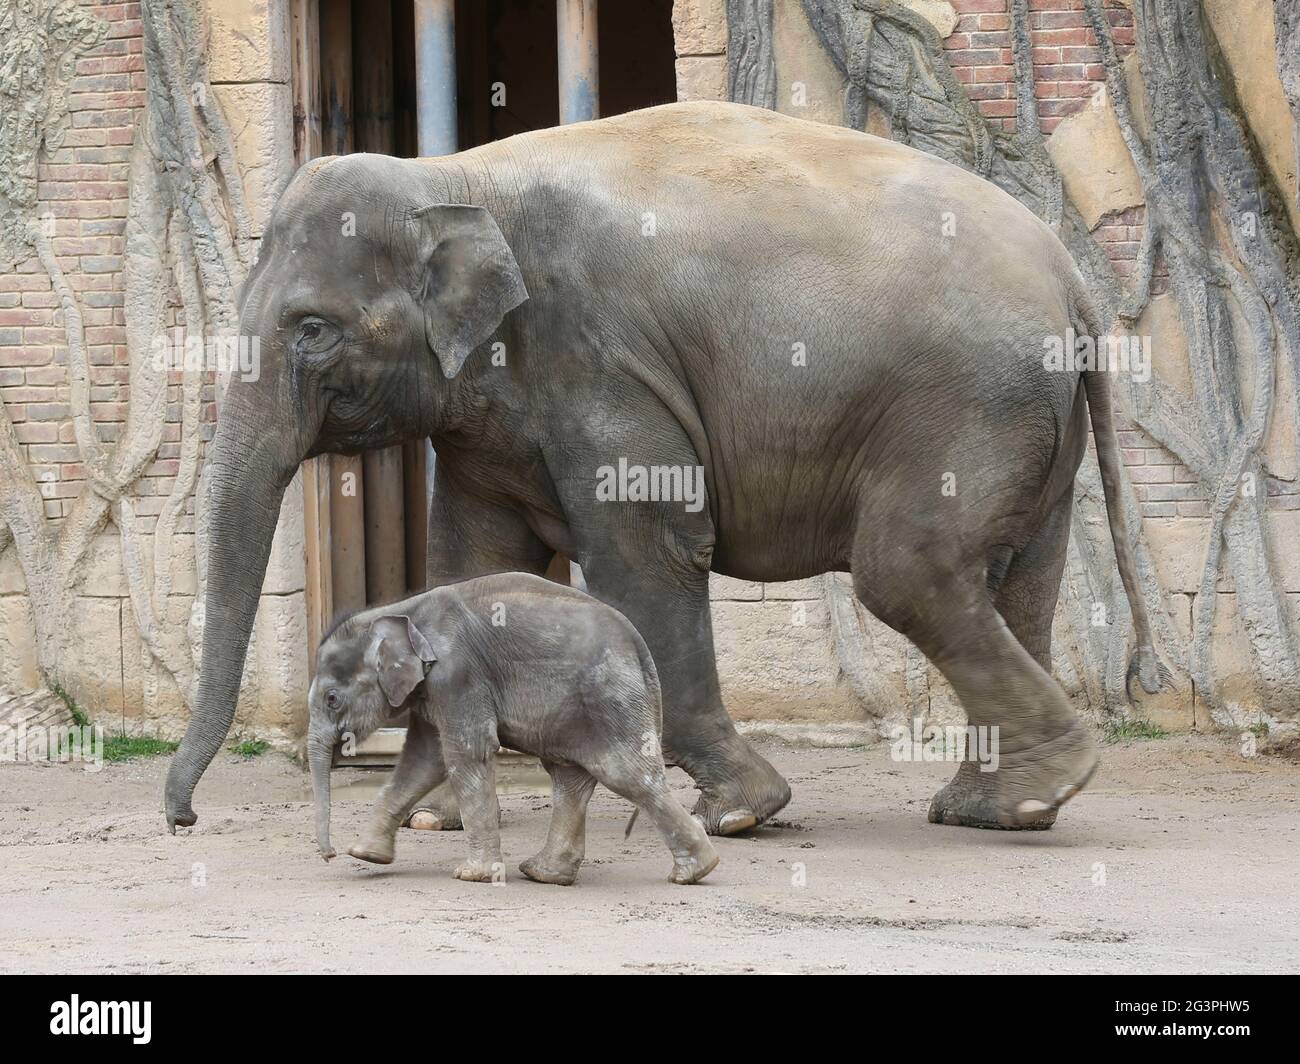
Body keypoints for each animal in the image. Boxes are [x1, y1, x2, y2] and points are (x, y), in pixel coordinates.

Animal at [165, 101, 1170, 827]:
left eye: (312, 330)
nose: (182, 819)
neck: (455, 175)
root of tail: (1072, 277)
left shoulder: (604, 361)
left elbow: (646, 553)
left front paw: (742, 812)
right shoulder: (488, 411)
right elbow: (473, 564)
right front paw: (435, 816)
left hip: (967, 404)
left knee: (909, 571)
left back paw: (1037, 790)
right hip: (1031, 421)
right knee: (1019, 581)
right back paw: (998, 807)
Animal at [310, 567, 728, 884]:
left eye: (332, 699)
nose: (330, 855)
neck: (402, 610)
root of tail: (640, 647)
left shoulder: (458, 675)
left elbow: (466, 752)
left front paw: (472, 876)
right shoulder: (432, 690)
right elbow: (424, 760)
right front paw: (366, 855)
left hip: (610, 698)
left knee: (625, 774)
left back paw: (695, 871)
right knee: (570, 777)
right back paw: (544, 874)